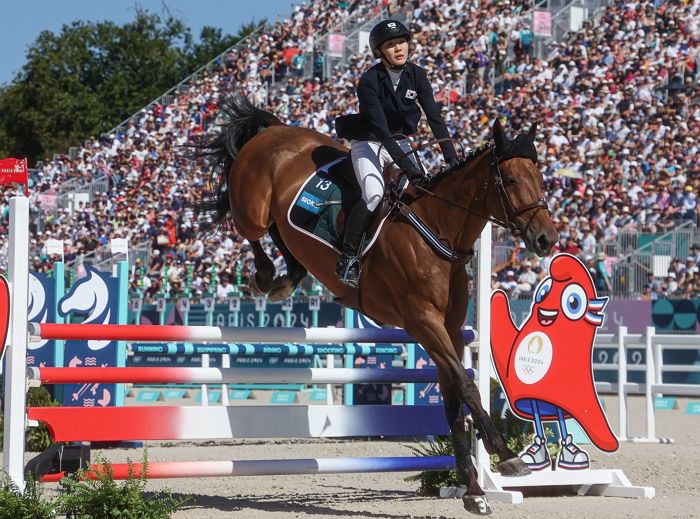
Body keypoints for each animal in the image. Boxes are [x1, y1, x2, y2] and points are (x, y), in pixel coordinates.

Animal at [194, 94, 560, 516]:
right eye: (512, 181)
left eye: (541, 179)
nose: (547, 240)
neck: (438, 228)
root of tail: (273, 130)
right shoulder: (423, 322)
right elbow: (467, 387)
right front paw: (507, 457)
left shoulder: (449, 331)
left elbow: (454, 400)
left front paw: (473, 491)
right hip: (251, 209)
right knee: (250, 227)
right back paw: (269, 276)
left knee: (281, 233)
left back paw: (289, 276)